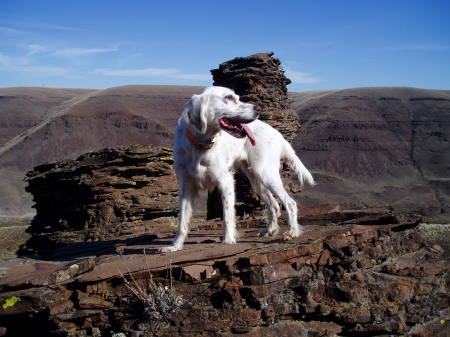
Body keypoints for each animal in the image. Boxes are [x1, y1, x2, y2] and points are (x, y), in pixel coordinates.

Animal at [161, 86, 312, 252]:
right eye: (229, 97)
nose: (258, 108)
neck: (200, 145)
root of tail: (278, 134)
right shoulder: (186, 187)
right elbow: (182, 221)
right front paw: (175, 246)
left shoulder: (225, 181)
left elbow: (227, 215)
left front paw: (228, 240)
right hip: (256, 179)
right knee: (274, 205)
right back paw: (270, 230)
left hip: (267, 174)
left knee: (290, 203)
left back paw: (292, 232)